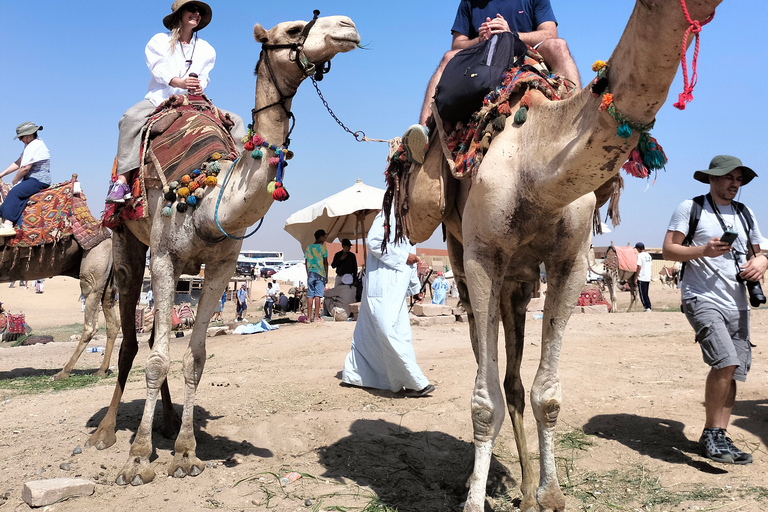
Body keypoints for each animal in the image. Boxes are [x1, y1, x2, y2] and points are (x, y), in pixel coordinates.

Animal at [0, 178, 118, 378]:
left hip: (93, 270)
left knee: (90, 325)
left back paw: (63, 372)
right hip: (107, 280)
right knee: (113, 323)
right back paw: (101, 370)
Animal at [85, 14, 362, 486]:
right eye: (292, 30)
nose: (348, 25)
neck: (209, 198)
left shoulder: (219, 267)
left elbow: (193, 358)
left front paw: (185, 452)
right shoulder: (164, 257)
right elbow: (156, 358)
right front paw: (137, 459)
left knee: (158, 337)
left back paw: (168, 422)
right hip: (127, 240)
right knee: (130, 341)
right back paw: (105, 432)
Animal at [392, 2, 724, 510]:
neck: (536, 163)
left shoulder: (570, 261)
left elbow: (546, 395)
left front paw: (548, 494)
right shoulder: (483, 256)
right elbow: (483, 401)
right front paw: (475, 499)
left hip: (519, 283)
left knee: (512, 378)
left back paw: (526, 488)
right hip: (460, 259)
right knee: (487, 364)